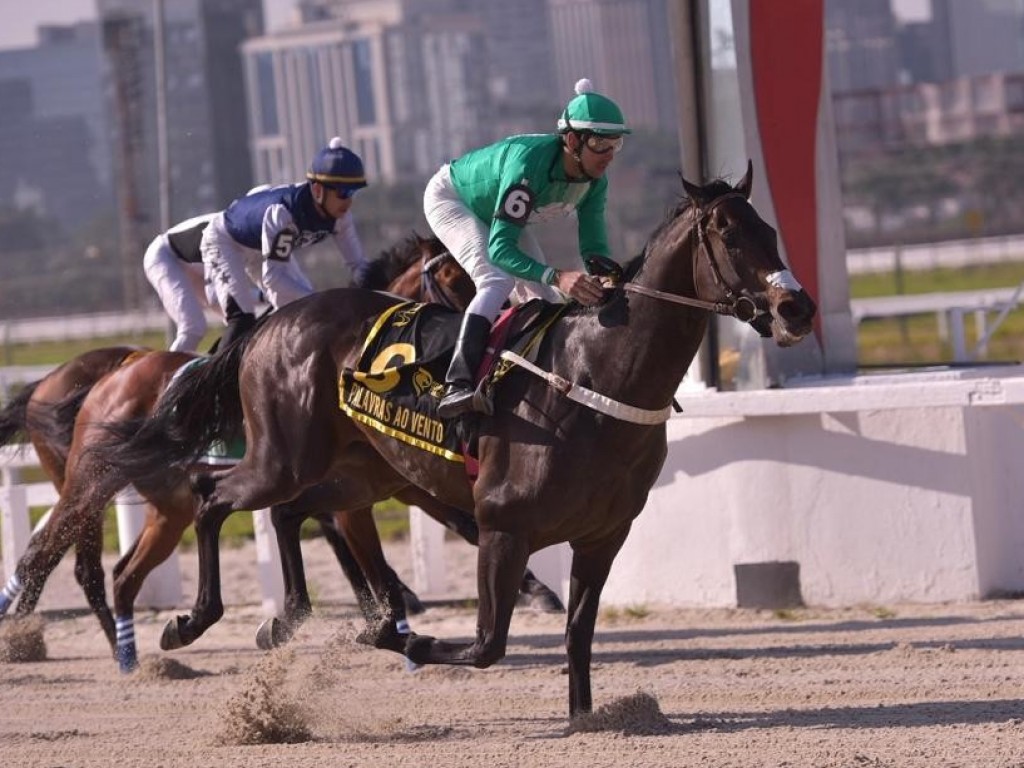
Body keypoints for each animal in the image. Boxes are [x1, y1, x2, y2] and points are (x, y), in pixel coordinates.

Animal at [96, 165, 815, 720]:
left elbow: (578, 633)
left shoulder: (603, 535)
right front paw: (409, 641)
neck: (595, 375)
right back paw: (190, 621)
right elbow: (487, 643)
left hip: (359, 471)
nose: (797, 309)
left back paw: (301, 616)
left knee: (294, 512)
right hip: (284, 456)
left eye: (770, 231)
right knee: (213, 495)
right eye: (728, 234)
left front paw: (583, 715)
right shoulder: (502, 524)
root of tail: (273, 321)